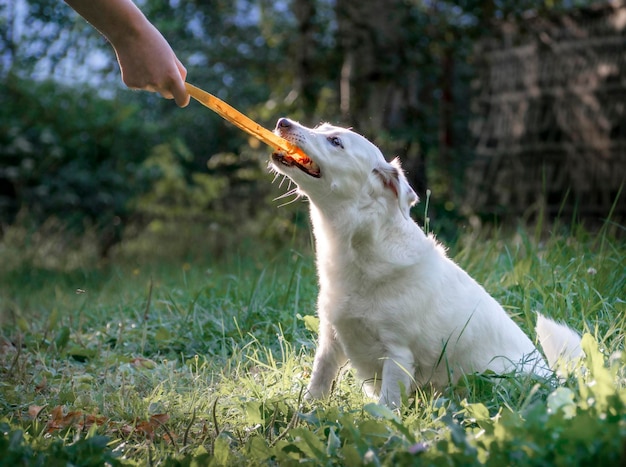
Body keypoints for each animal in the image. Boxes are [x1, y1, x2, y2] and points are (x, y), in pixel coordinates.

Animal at [268, 119, 580, 408]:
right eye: (321, 127)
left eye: (335, 141)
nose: (283, 122)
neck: (358, 247)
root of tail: (556, 379)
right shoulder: (331, 339)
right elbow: (319, 380)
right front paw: (306, 411)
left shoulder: (397, 354)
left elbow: (387, 404)